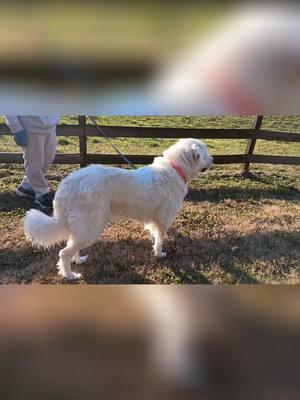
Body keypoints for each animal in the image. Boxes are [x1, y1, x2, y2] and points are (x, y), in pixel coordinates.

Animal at [24, 139, 213, 280]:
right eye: (205, 152)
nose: (213, 160)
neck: (175, 168)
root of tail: (66, 184)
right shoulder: (163, 221)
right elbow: (160, 240)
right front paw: (159, 254)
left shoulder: (154, 221)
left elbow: (154, 236)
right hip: (91, 228)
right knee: (64, 253)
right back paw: (70, 275)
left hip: (83, 229)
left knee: (71, 246)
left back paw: (79, 260)